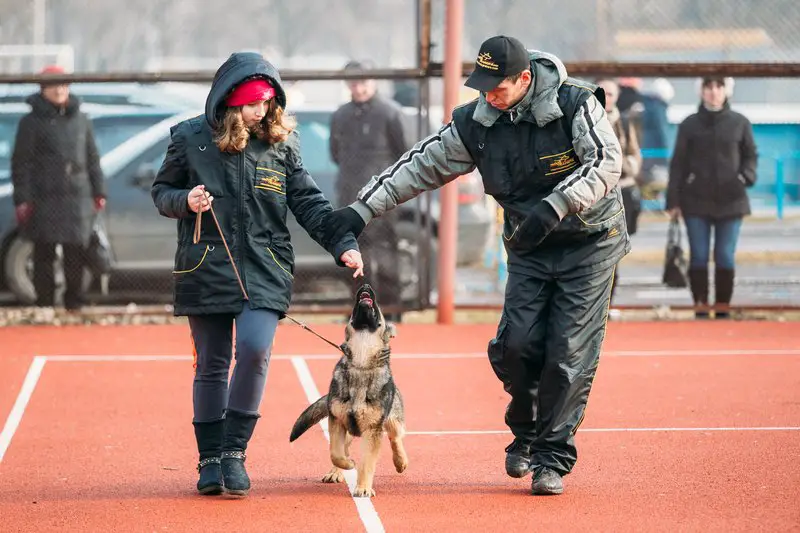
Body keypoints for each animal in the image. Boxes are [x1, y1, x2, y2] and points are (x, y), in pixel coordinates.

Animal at [290, 284, 406, 496]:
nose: (366, 285)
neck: (361, 362)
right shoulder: (337, 421)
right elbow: (336, 453)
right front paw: (347, 465)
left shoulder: (373, 430)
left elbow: (367, 463)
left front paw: (363, 488)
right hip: (347, 429)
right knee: (343, 448)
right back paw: (336, 472)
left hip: (392, 421)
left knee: (395, 437)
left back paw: (401, 462)